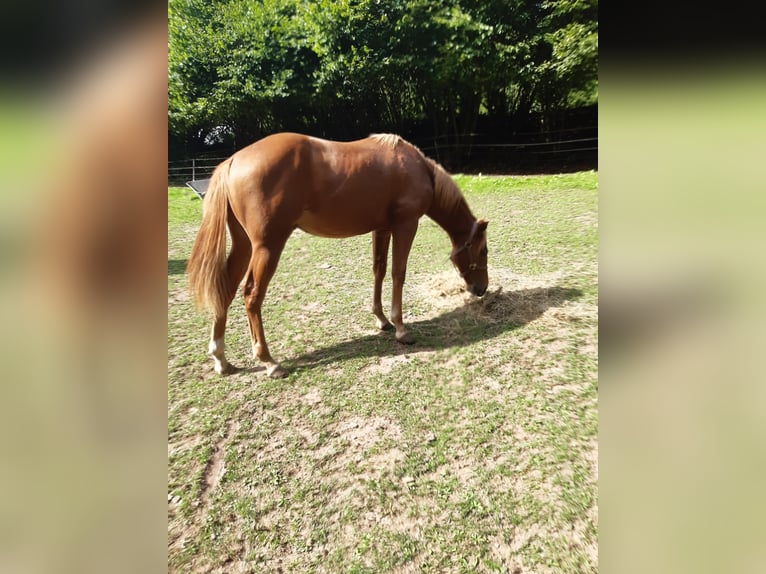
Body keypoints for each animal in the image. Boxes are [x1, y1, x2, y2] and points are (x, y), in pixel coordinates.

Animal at [186, 132, 489, 378]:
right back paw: (269, 362)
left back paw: (221, 359)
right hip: (267, 247)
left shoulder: (382, 229)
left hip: (244, 245)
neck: (415, 167)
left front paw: (382, 320)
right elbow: (398, 273)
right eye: (483, 250)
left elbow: (379, 270)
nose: (481, 289)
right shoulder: (406, 225)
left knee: (225, 288)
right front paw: (401, 329)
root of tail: (233, 161)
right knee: (252, 295)